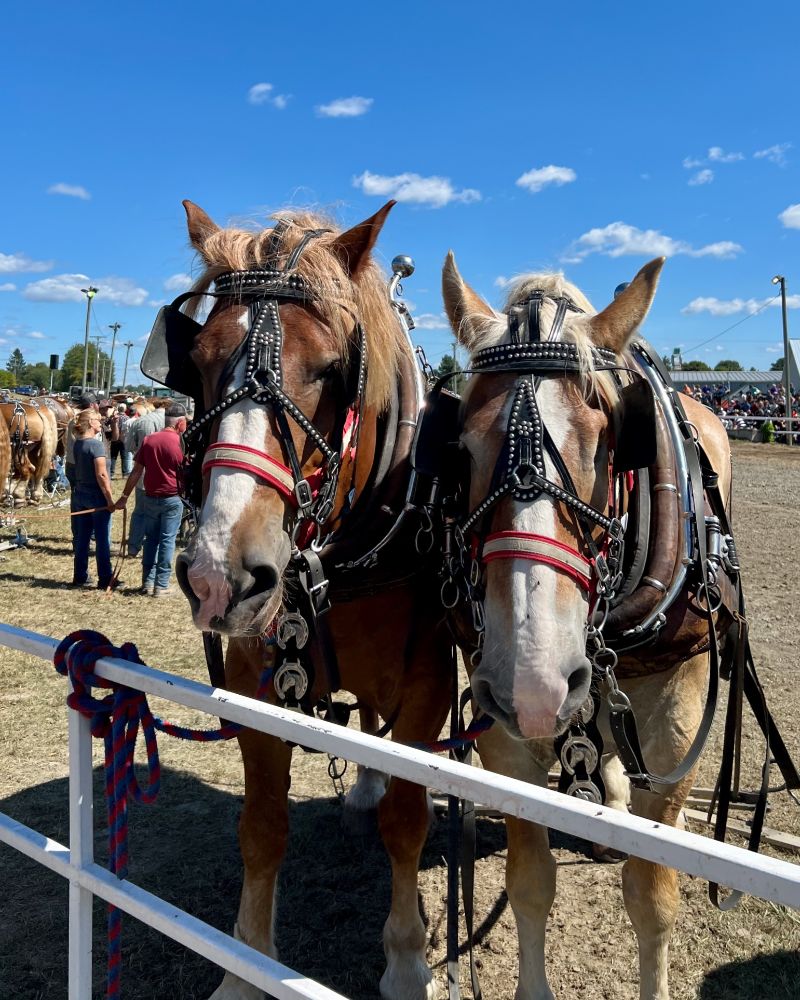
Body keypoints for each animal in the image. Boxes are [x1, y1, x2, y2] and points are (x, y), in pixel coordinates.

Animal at [162, 199, 452, 999]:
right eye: (198, 362)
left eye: (329, 369)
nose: (221, 573)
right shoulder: (251, 674)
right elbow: (262, 826)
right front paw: (246, 967)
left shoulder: (429, 682)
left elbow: (408, 821)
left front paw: (407, 961)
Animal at [439, 253, 735, 1000]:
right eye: (461, 448)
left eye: (608, 442)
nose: (535, 684)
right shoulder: (507, 735)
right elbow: (529, 882)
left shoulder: (675, 729)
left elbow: (653, 898)